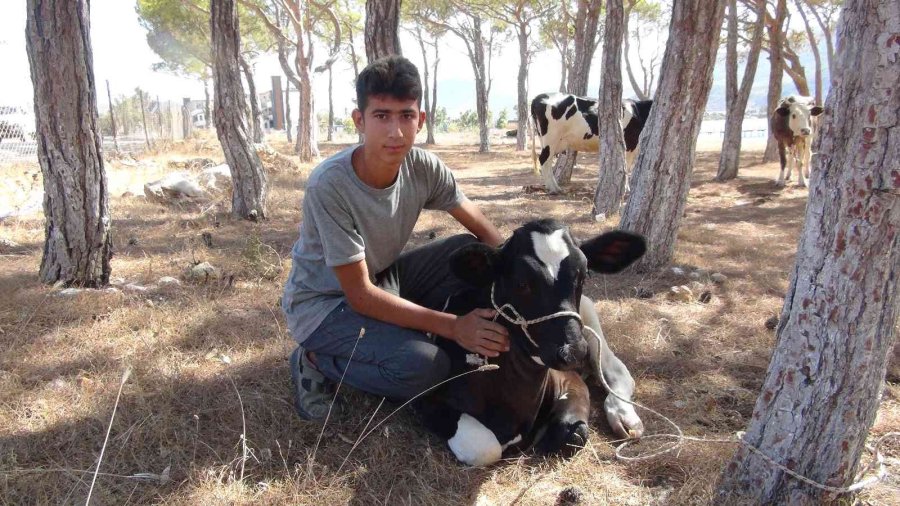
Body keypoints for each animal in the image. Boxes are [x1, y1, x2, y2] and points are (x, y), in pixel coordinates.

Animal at [422, 219, 648, 464]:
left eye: (583, 276)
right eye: (522, 283)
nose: (573, 351)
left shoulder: (570, 378)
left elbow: (575, 433)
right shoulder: (430, 401)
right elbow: (484, 446)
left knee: (617, 371)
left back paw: (624, 415)